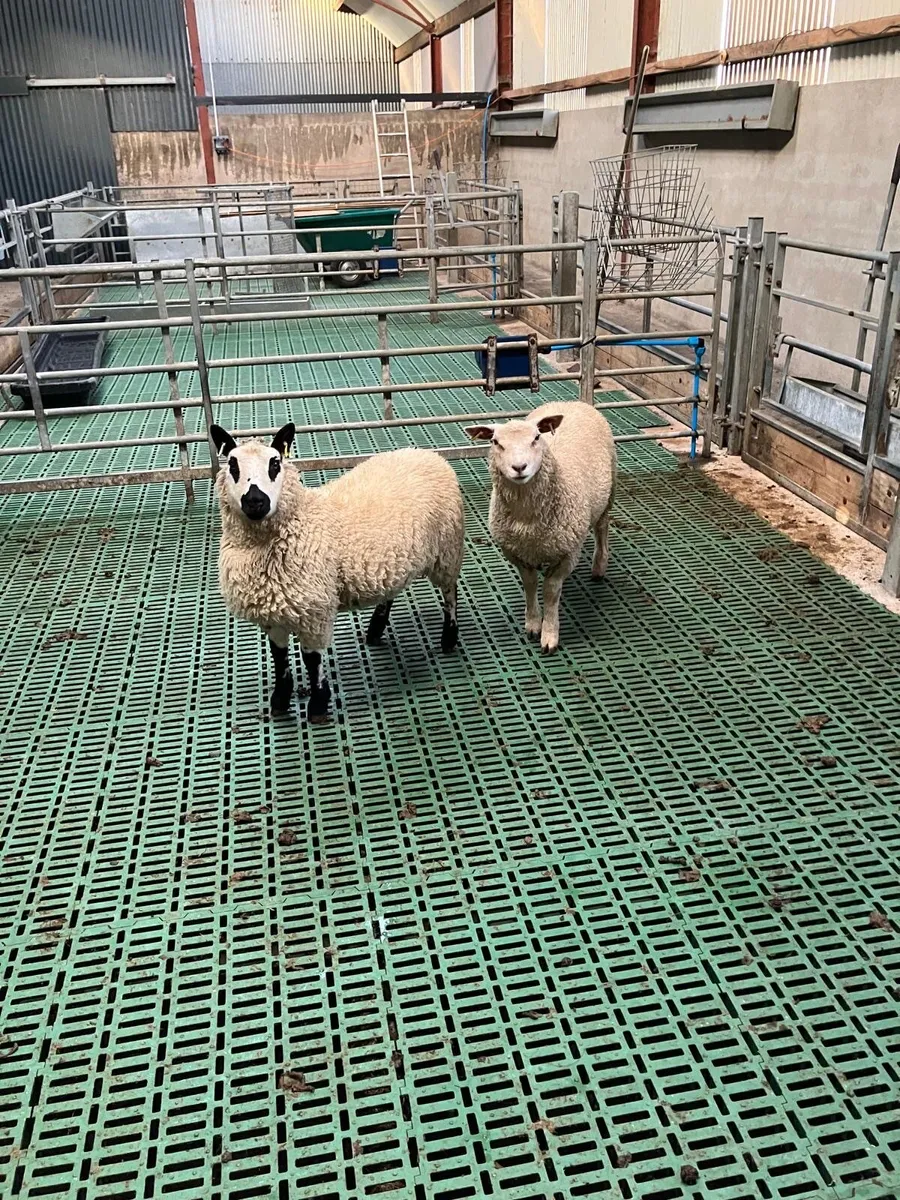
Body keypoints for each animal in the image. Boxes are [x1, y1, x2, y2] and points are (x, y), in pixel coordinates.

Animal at [209, 422, 464, 723]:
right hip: (395, 557)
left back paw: (449, 638)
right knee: (391, 588)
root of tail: (427, 454)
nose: (255, 501)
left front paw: (318, 705)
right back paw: (375, 629)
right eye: (232, 464)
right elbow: (279, 657)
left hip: (447, 551)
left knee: (450, 593)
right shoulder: (274, 613)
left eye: (275, 463)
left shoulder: (314, 611)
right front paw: (280, 701)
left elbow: (312, 659)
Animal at [466, 401, 616, 654]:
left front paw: (549, 634)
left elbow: (551, 591)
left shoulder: (567, 552)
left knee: (601, 529)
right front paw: (533, 623)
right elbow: (530, 584)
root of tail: (574, 402)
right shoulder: (516, 552)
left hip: (608, 493)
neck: (528, 522)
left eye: (536, 437)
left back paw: (599, 566)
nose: (519, 467)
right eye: (495, 442)